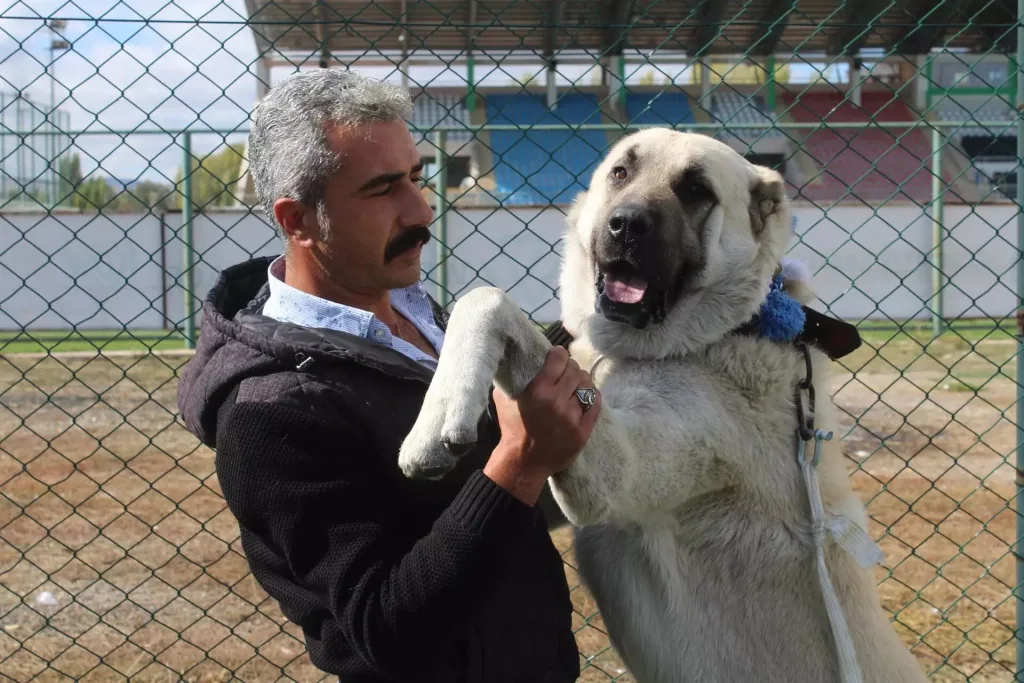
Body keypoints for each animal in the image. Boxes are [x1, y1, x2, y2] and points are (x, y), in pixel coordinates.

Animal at [397, 129, 929, 683]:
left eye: (696, 190)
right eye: (620, 173)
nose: (626, 224)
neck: (718, 333)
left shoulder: (612, 469)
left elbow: (489, 299)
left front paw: (437, 417)